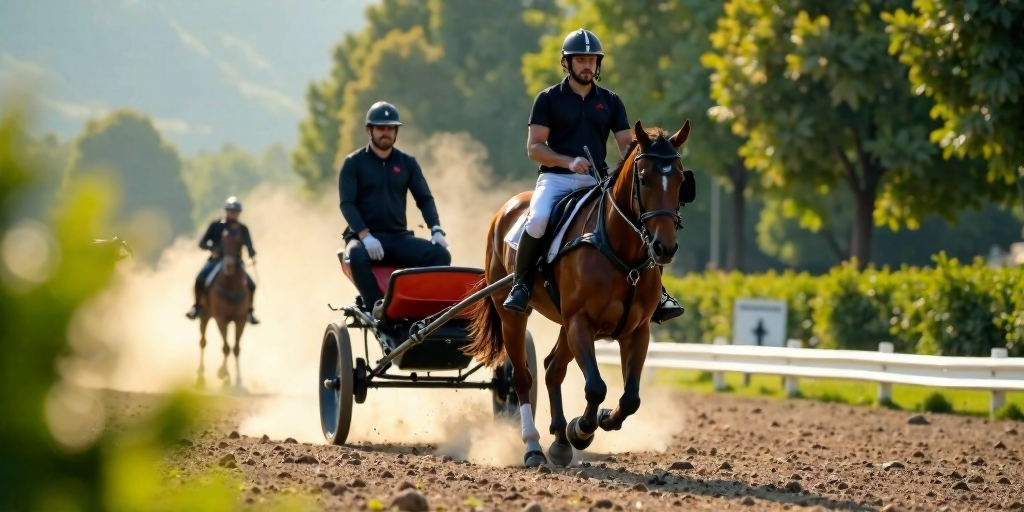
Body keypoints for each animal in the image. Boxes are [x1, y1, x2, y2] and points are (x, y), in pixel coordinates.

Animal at [196, 224, 252, 387]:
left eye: (239, 241)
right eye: (223, 241)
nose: (228, 266)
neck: (231, 285)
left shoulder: (240, 319)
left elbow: (236, 348)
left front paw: (238, 380)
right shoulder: (220, 318)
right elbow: (226, 347)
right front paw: (223, 374)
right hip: (204, 316)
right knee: (203, 342)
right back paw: (200, 376)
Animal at [466, 117, 692, 466]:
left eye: (681, 179)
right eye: (644, 179)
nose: (664, 247)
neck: (621, 253)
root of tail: (506, 209)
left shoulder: (636, 330)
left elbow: (631, 398)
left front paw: (599, 421)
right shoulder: (580, 322)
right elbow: (596, 387)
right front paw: (582, 429)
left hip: (564, 325)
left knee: (552, 369)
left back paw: (559, 440)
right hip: (513, 318)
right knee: (522, 379)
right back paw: (533, 446)